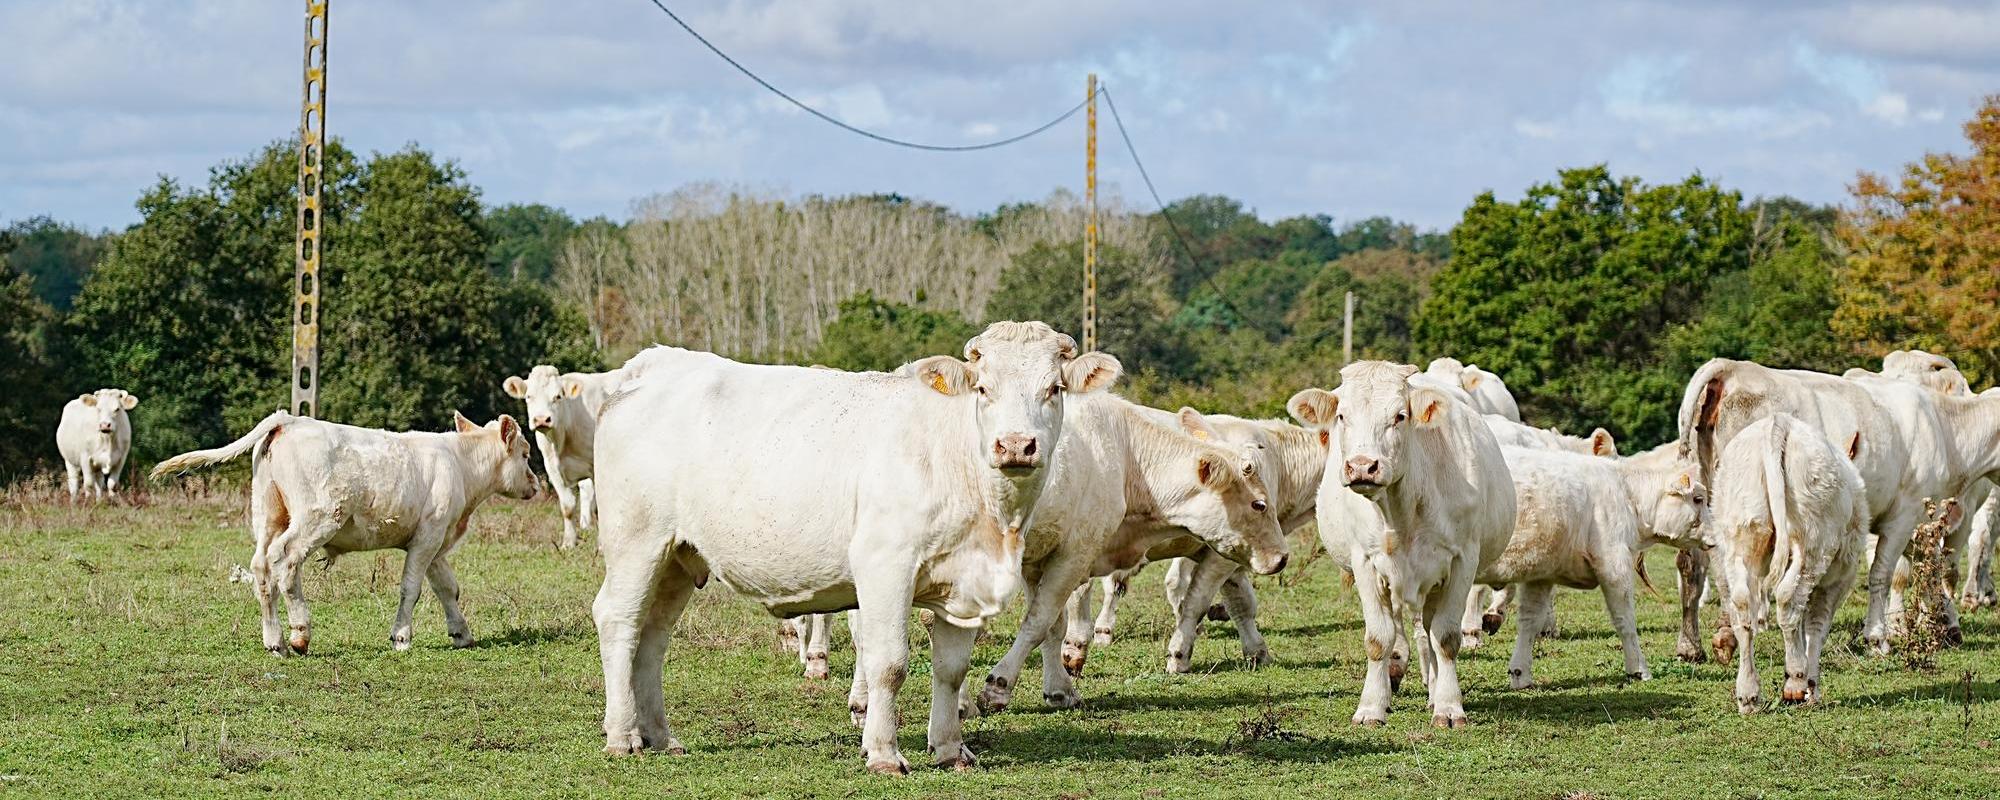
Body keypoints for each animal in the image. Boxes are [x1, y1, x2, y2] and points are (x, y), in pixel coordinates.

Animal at [151, 412, 536, 656]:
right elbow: (411, 589)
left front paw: (461, 633)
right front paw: (401, 637)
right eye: (526, 453)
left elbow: (447, 588)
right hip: (317, 518)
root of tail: (289, 419)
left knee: (262, 567)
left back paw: (275, 640)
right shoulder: (428, 536)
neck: (460, 463)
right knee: (285, 561)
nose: (535, 483)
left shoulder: (435, 542)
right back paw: (299, 634)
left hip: (268, 514)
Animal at [500, 368, 624, 552]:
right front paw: (568, 542)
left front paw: (602, 545)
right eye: (529, 396)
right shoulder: (552, 468)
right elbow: (567, 506)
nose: (542, 419)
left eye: (558, 396)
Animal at [584, 322, 1128, 772]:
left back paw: (660, 736)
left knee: (653, 635)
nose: (1016, 445)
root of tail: (654, 366)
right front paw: (885, 753)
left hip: (678, 556)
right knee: (619, 620)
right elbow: (888, 663)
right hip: (637, 541)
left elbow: (951, 668)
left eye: (1054, 388)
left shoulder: (965, 580)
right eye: (982, 388)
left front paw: (951, 749)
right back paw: (623, 736)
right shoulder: (885, 564)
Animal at [1704, 416, 1872, 708]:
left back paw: (1748, 694)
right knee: (1788, 598)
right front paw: (1811, 688)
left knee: (1742, 607)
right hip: (1813, 544)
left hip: (1742, 534)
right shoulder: (1838, 578)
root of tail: (1777, 423)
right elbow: (1816, 626)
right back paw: (1795, 679)